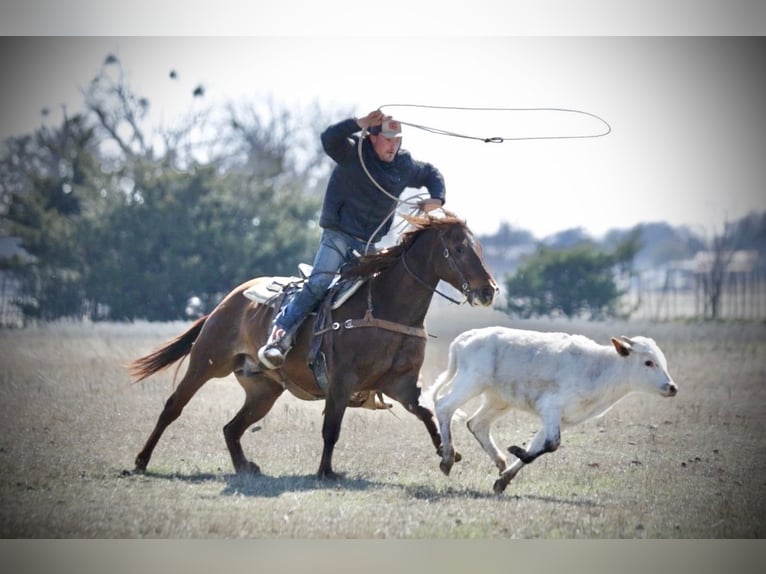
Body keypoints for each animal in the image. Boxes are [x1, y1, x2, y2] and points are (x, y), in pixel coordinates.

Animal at [127, 216, 498, 482]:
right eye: (459, 249)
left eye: (478, 247)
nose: (489, 290)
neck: (383, 307)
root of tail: (226, 302)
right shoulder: (341, 382)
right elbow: (331, 428)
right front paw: (325, 472)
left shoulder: (401, 384)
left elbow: (426, 413)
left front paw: (447, 455)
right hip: (206, 362)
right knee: (172, 408)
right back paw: (141, 461)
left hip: (263, 391)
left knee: (231, 428)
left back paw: (245, 468)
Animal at [432, 328, 680, 496]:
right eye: (648, 362)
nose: (672, 387)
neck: (600, 368)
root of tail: (464, 338)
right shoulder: (551, 407)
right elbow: (551, 444)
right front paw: (515, 451)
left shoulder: (562, 419)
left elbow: (538, 445)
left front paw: (503, 480)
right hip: (471, 382)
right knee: (444, 407)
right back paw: (447, 458)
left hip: (498, 399)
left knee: (477, 424)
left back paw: (499, 460)